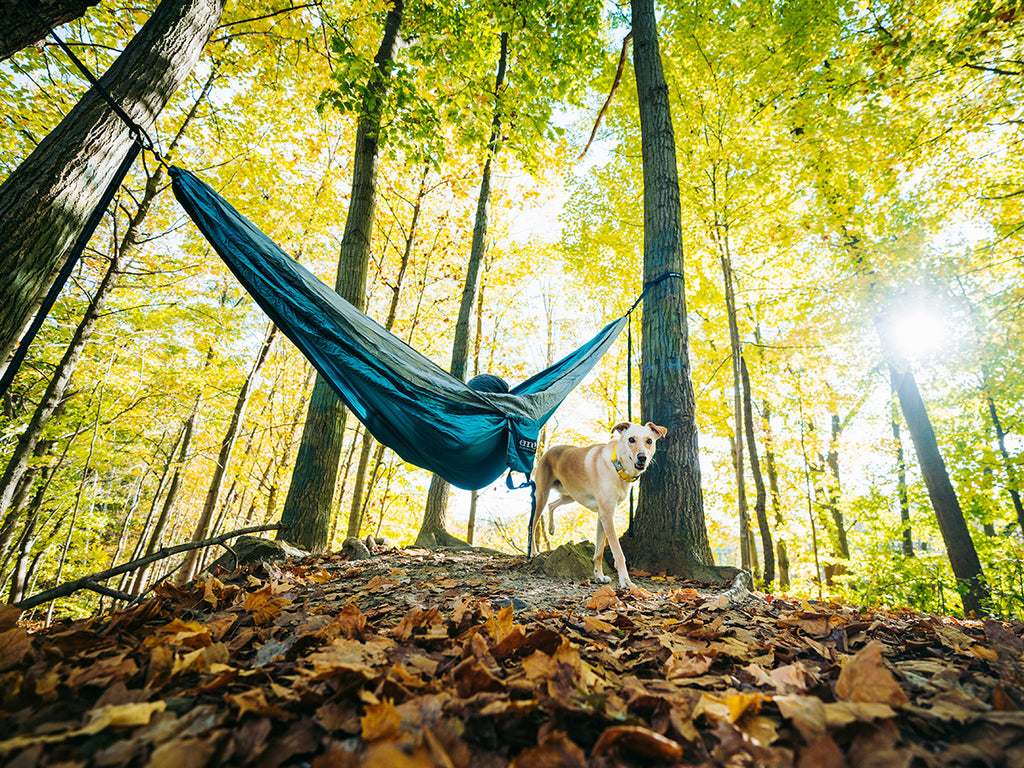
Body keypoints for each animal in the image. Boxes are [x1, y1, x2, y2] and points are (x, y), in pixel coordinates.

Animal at [528, 421, 671, 589]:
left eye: (649, 441)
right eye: (631, 439)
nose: (642, 457)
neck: (617, 467)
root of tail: (548, 451)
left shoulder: (602, 516)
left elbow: (599, 552)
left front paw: (599, 576)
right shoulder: (607, 515)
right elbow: (618, 553)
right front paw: (625, 581)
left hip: (570, 495)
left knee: (552, 505)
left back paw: (551, 528)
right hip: (541, 495)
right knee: (533, 523)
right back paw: (533, 551)